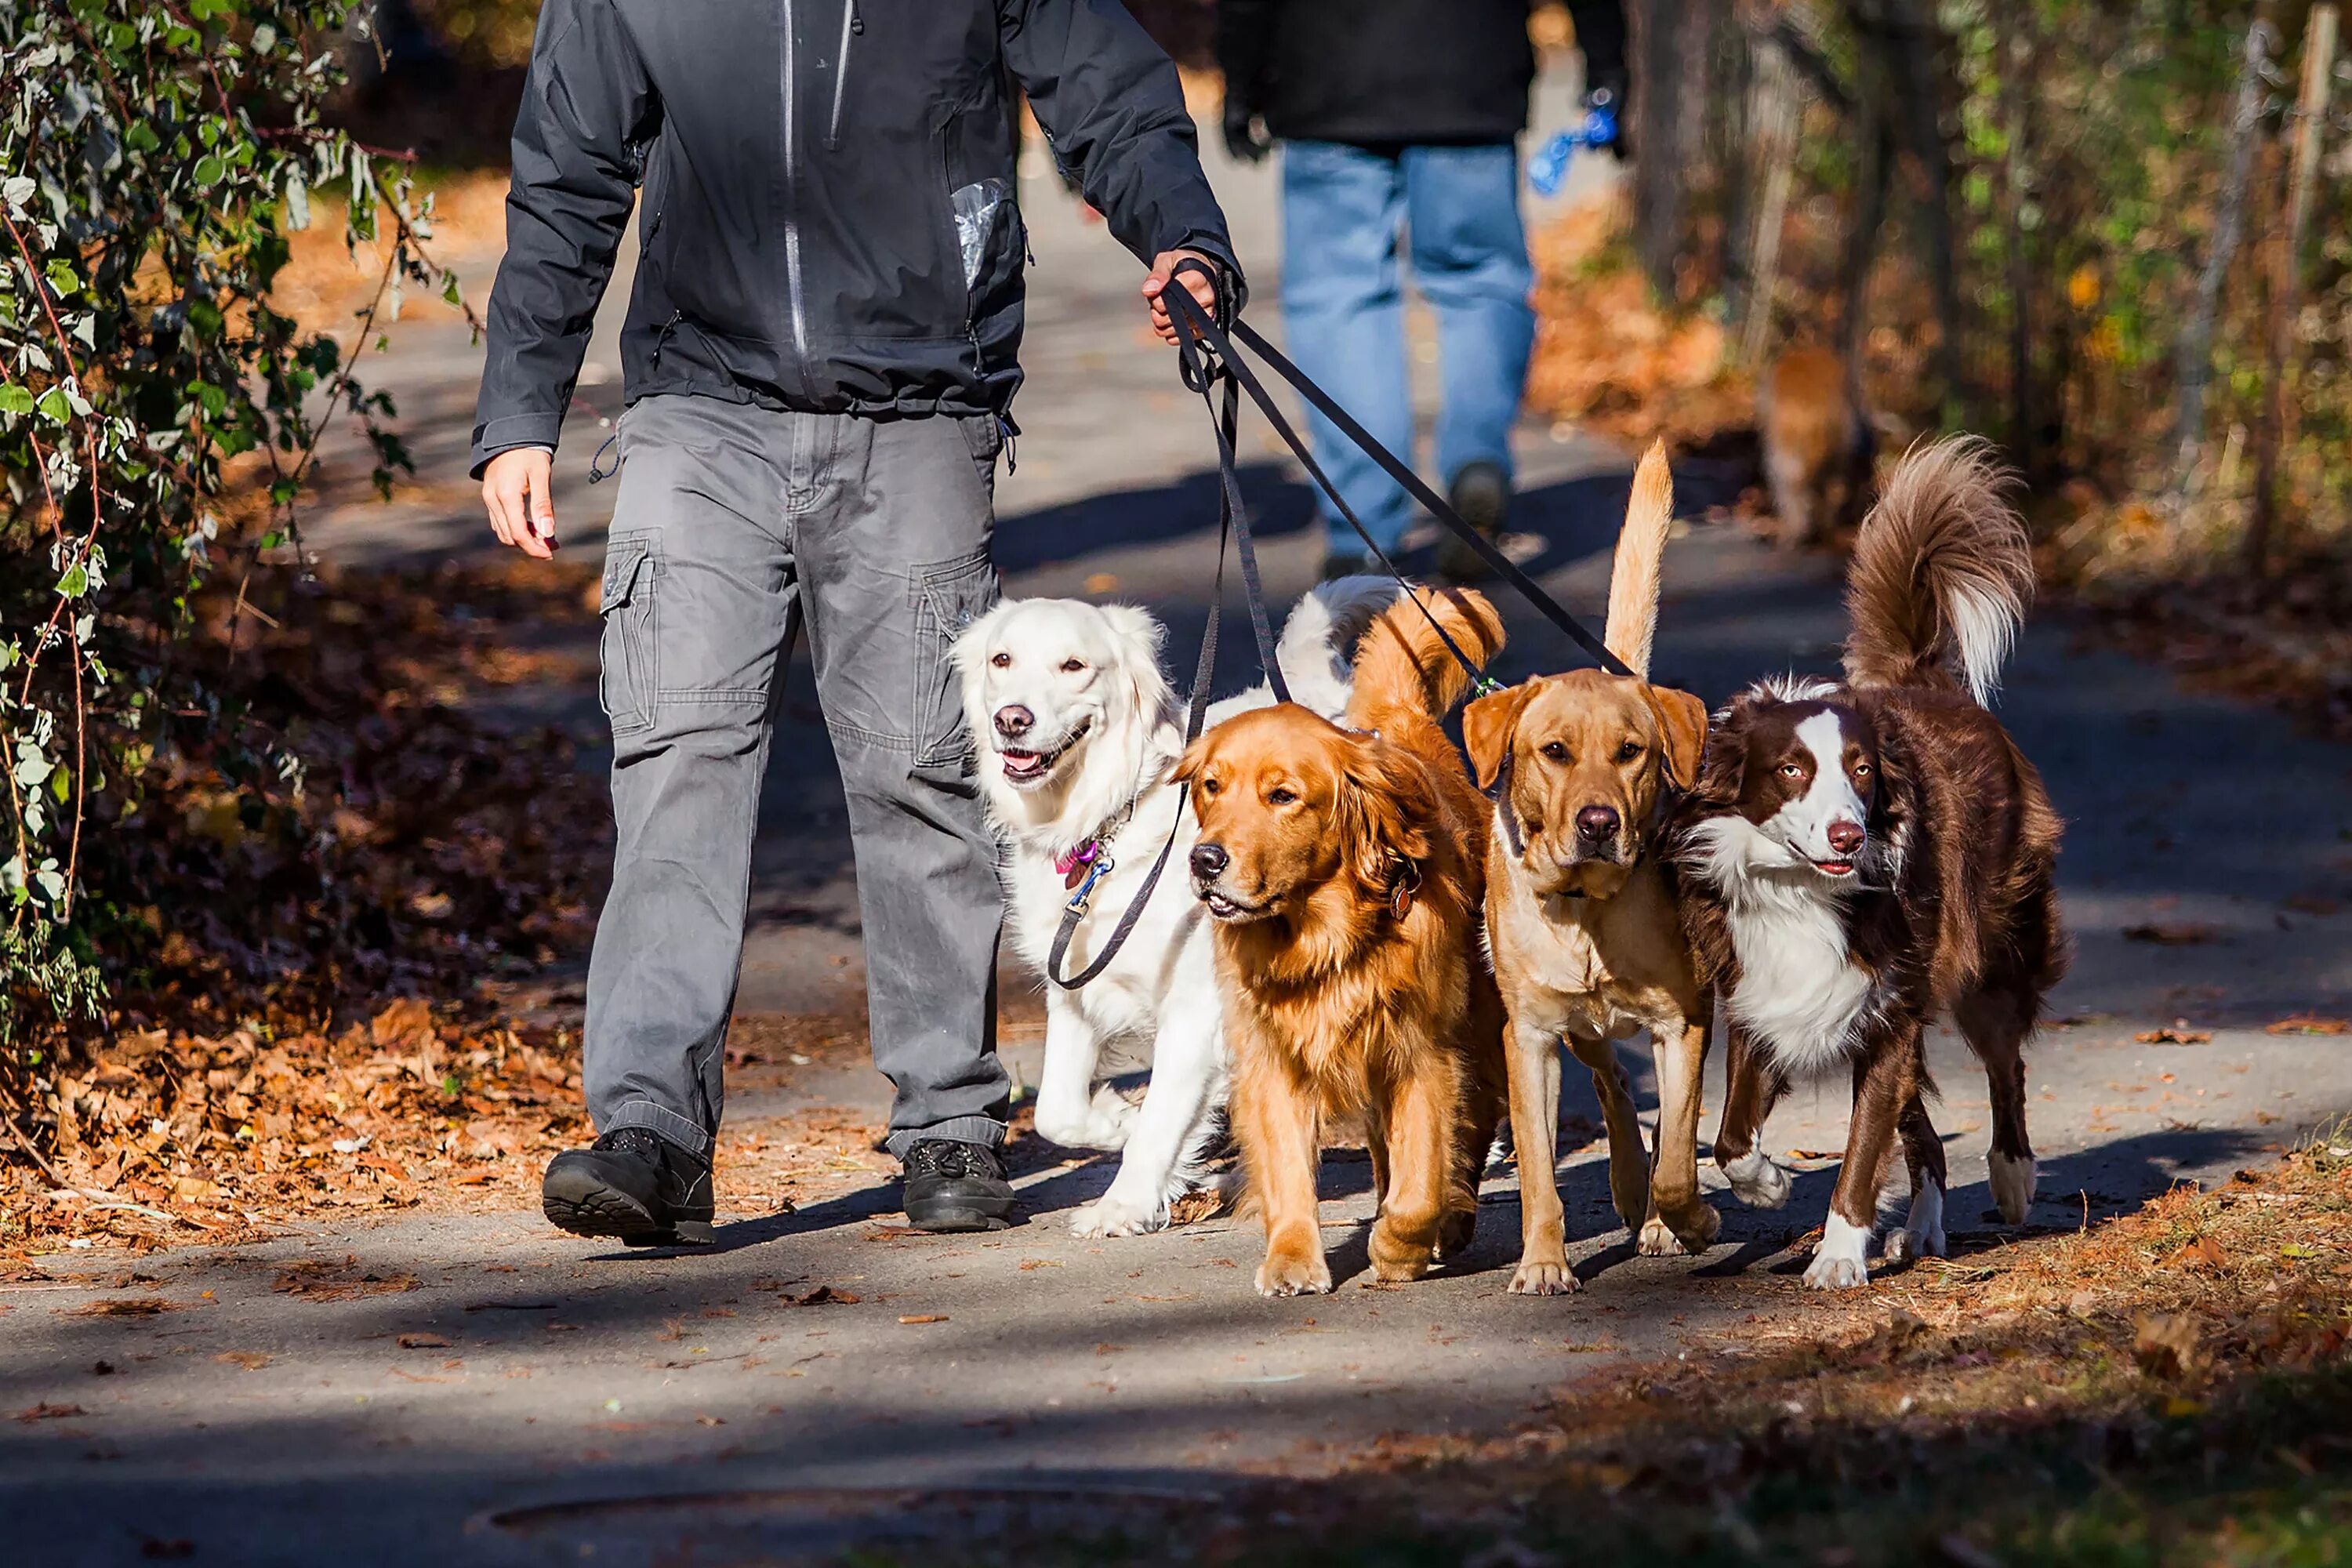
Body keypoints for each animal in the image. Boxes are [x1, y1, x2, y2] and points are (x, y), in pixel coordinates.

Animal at [950, 580, 1392, 1241]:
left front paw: (1122, 1205)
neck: (1108, 824)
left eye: (1074, 666)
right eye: (1002, 660)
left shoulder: (1195, 1011)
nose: (1013, 719)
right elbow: (1058, 1110)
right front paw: (1117, 1120)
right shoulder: (1075, 991)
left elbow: (1161, 1121)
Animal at [1176, 587, 1505, 1298]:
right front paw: (1293, 1258)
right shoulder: (1275, 1058)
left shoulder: (1422, 1053)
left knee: (1473, 1126)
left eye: (1282, 796)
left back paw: (1454, 1218)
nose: (1204, 860)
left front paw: (1399, 1247)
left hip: (1481, 1026)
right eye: (1212, 786)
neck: (1322, 937)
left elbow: (1421, 1181)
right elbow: (1288, 1168)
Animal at [1458, 444, 1722, 1298]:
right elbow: (1541, 1172)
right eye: (1555, 752)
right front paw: (1544, 1261)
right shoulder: (1531, 1040)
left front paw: (1687, 1219)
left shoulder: (1685, 1022)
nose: (1599, 823)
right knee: (1611, 1084)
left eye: (1631, 752)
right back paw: (1627, 1187)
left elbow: (1681, 1151)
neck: (1585, 908)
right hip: (1580, 1035)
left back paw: (1659, 1213)